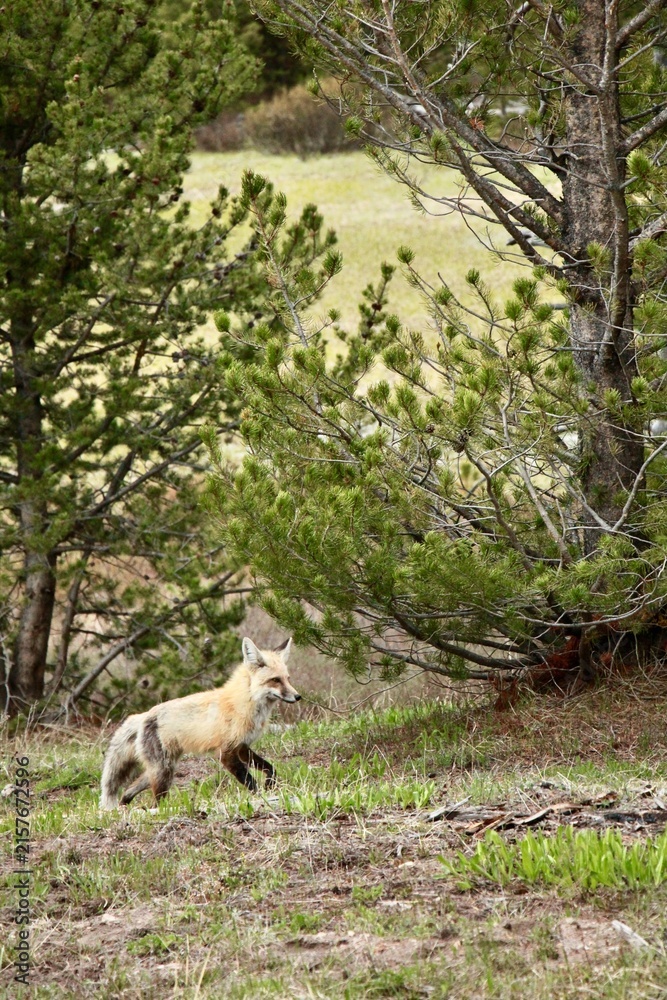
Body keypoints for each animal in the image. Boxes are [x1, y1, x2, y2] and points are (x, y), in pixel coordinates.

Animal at [99, 636, 300, 809]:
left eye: (288, 679)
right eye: (275, 680)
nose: (298, 697)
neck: (244, 704)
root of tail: (143, 715)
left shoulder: (242, 747)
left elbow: (270, 768)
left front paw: (270, 785)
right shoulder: (226, 752)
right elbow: (250, 782)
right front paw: (261, 797)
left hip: (160, 770)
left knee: (128, 790)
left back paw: (123, 807)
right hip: (163, 772)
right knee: (155, 803)